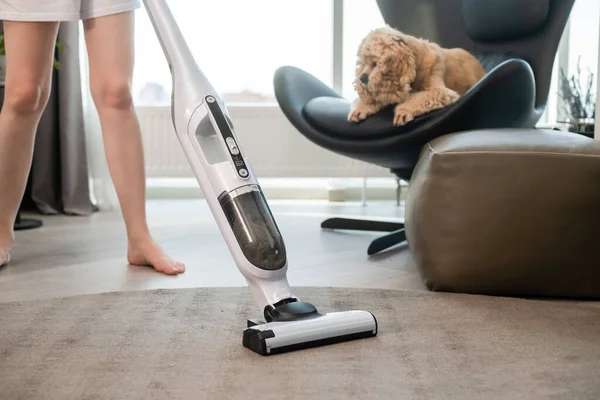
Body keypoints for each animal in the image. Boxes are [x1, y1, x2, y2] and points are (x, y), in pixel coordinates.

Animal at [350, 26, 486, 126]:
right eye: (364, 63)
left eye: (374, 63)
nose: (361, 78)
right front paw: (361, 107)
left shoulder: (441, 91)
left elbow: (418, 97)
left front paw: (403, 110)